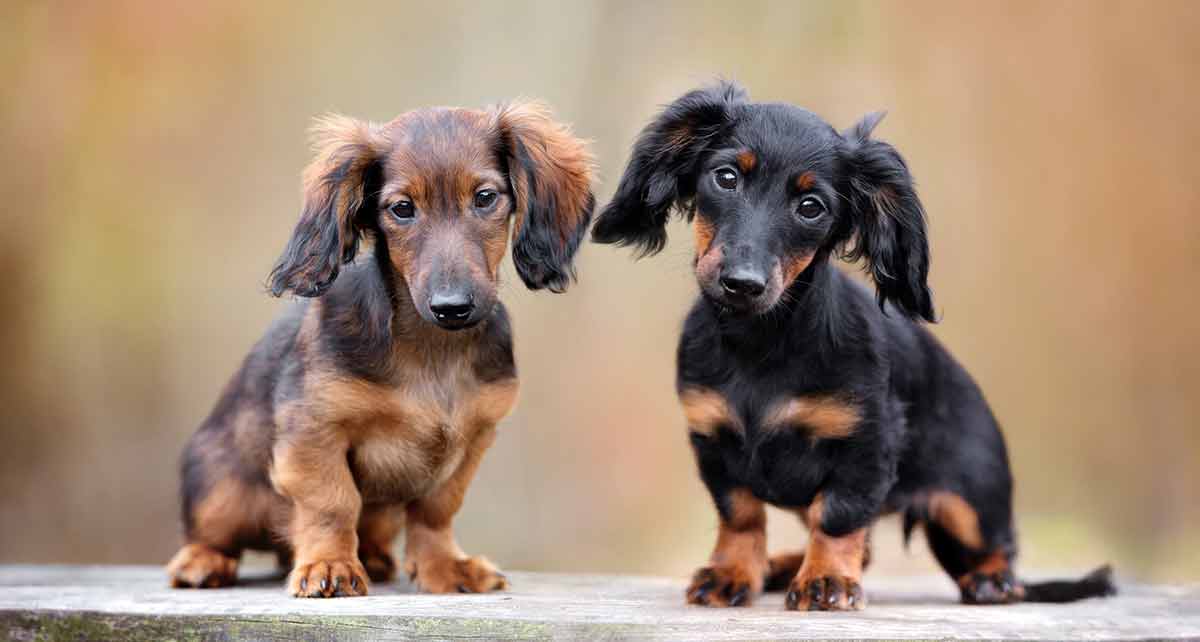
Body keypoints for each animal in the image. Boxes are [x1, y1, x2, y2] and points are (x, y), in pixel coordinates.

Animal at [164, 100, 595, 597]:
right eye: (402, 208)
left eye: (485, 197)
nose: (452, 307)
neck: (433, 348)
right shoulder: (314, 430)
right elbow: (333, 502)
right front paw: (330, 565)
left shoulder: (473, 438)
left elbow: (436, 509)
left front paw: (446, 568)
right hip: (223, 494)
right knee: (211, 534)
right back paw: (203, 560)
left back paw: (372, 556)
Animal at [592, 82, 1113, 609]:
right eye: (726, 178)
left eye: (811, 207)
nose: (743, 283)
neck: (763, 342)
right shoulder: (713, 439)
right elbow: (740, 515)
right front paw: (733, 573)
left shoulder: (865, 444)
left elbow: (839, 517)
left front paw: (826, 580)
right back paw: (781, 565)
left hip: (971, 502)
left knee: (997, 549)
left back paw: (992, 581)